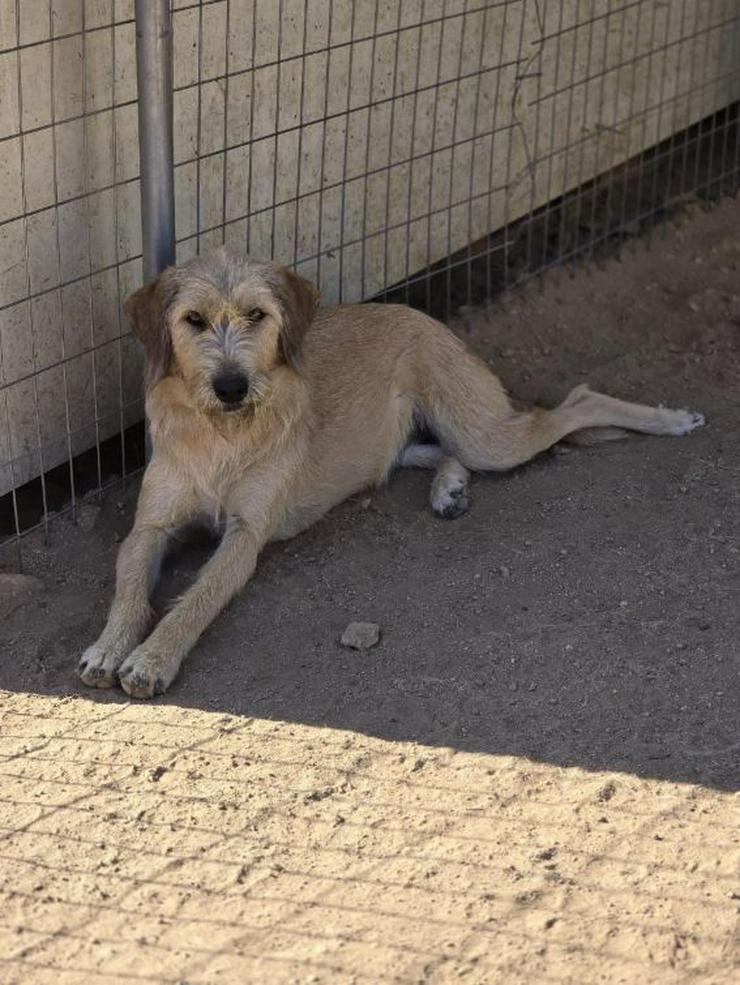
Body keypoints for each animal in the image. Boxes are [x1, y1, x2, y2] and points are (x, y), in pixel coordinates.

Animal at [76, 246, 704, 696]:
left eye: (256, 315)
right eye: (193, 320)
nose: (231, 386)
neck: (220, 435)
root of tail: (415, 312)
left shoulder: (245, 536)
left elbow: (198, 598)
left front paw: (154, 657)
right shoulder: (150, 527)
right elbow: (129, 582)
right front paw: (110, 645)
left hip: (485, 435)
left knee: (577, 400)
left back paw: (669, 420)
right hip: (399, 443)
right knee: (432, 453)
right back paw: (449, 488)